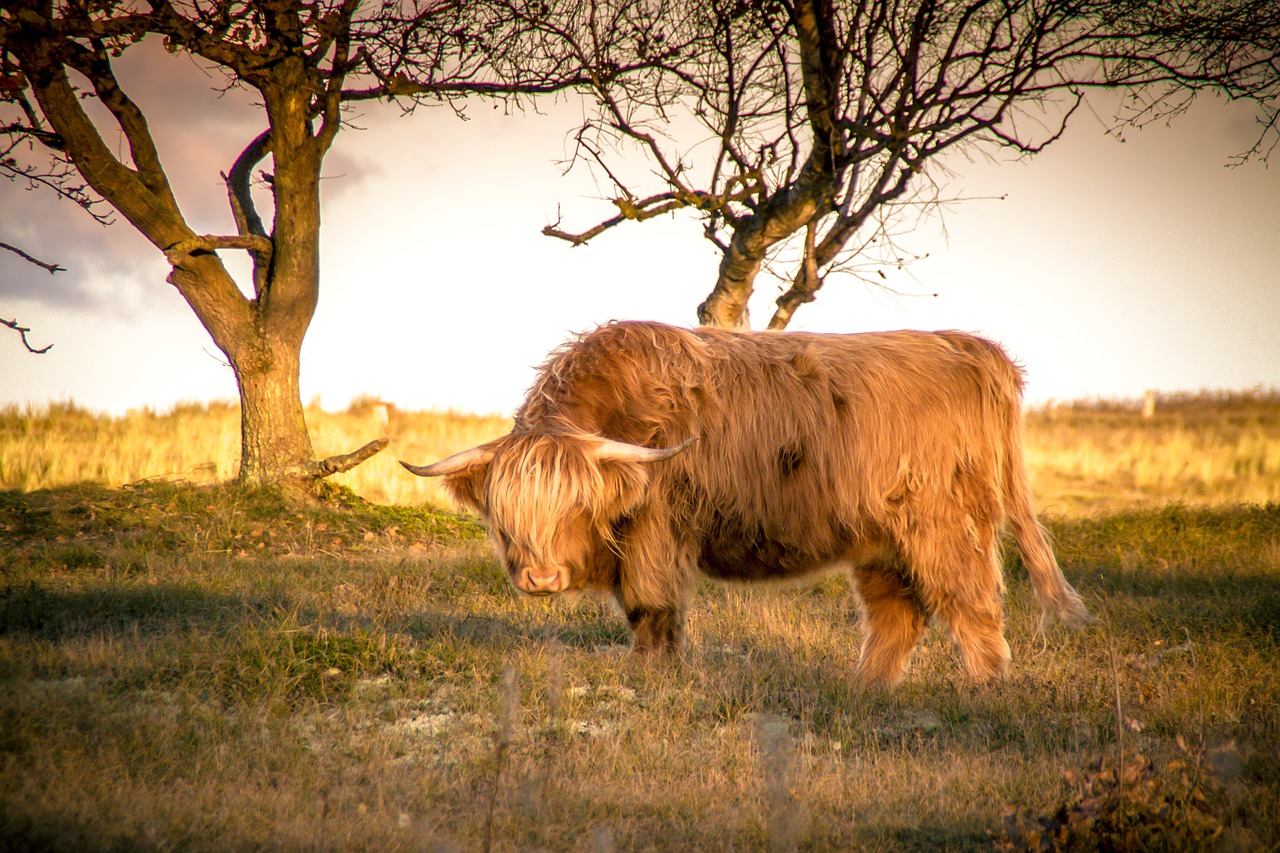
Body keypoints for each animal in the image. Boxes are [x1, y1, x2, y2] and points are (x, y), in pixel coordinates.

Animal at [399, 318, 1090, 686]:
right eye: (507, 514)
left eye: (575, 506)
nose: (540, 579)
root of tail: (966, 345)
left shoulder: (656, 530)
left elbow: (650, 606)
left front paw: (652, 676)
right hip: (881, 540)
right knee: (897, 614)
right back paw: (866, 690)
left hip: (941, 524)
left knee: (971, 602)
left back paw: (982, 687)